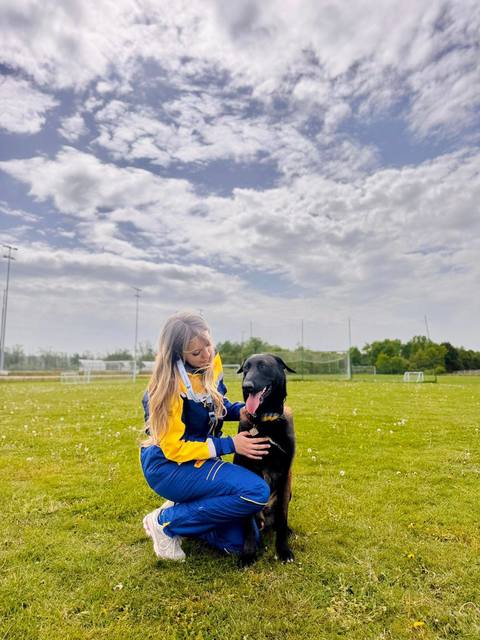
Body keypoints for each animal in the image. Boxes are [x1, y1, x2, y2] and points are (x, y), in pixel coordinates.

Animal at [233, 353, 296, 565]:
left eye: (263, 367)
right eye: (245, 369)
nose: (246, 386)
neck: (266, 421)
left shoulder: (285, 474)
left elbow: (283, 519)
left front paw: (283, 550)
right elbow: (247, 524)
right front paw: (248, 553)